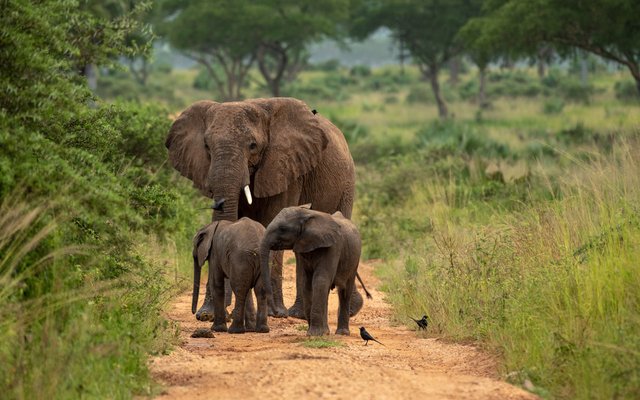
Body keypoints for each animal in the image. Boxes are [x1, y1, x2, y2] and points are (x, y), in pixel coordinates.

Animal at [165, 98, 358, 320]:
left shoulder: (285, 168)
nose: (223, 311)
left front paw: (274, 313)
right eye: (206, 146)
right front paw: (208, 314)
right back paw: (301, 313)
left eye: (253, 146)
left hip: (347, 185)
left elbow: (271, 223)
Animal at [258, 205, 360, 336]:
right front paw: (315, 332)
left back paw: (342, 333)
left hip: (354, 260)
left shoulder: (333, 247)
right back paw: (327, 331)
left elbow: (320, 280)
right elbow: (307, 282)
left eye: (283, 229)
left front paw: (314, 334)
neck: (307, 214)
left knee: (345, 291)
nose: (277, 314)